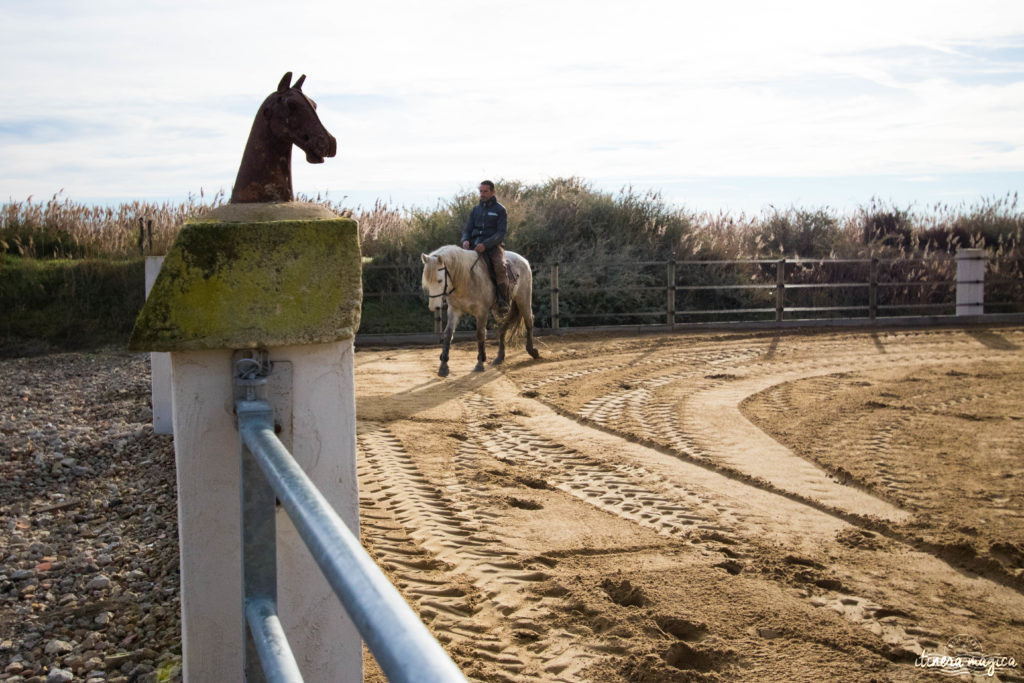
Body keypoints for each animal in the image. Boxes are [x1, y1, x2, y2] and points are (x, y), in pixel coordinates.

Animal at [419, 244, 540, 376]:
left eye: (440, 280)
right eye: (427, 281)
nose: (433, 307)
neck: (467, 278)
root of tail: (524, 261)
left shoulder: (481, 312)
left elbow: (480, 334)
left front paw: (480, 363)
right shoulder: (454, 310)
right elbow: (448, 334)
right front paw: (443, 366)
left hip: (523, 299)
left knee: (529, 321)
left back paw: (532, 351)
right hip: (499, 311)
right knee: (503, 327)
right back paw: (499, 357)